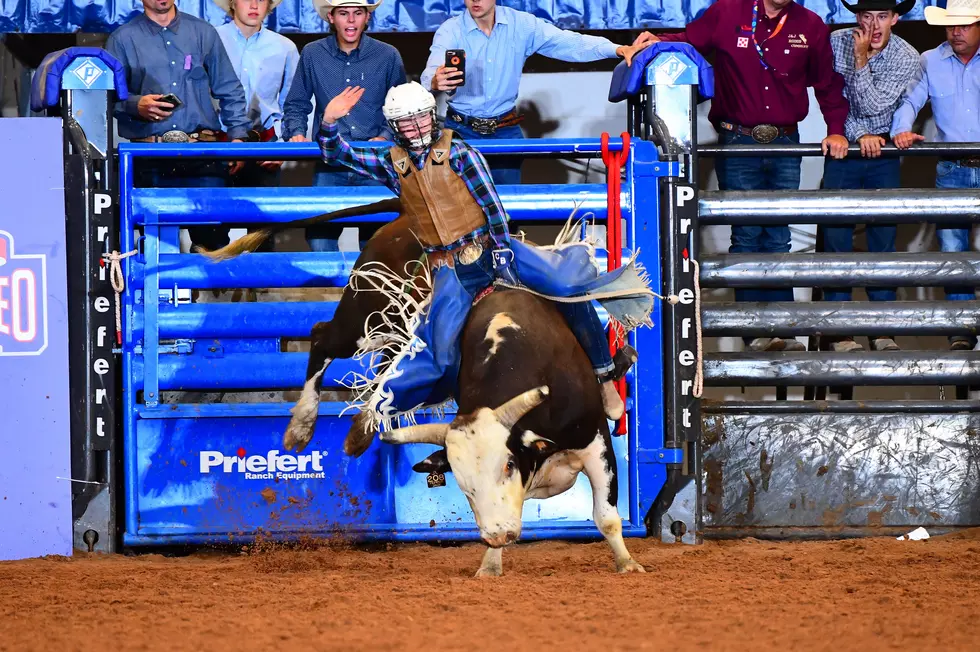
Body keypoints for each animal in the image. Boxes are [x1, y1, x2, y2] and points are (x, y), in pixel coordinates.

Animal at [203, 200, 648, 576]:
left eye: (508, 465)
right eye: (463, 485)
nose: (499, 534)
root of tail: (403, 216)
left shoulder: (595, 441)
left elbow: (607, 517)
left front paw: (628, 565)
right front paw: (490, 564)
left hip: (388, 331)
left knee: (361, 360)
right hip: (366, 315)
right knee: (321, 337)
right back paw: (303, 424)